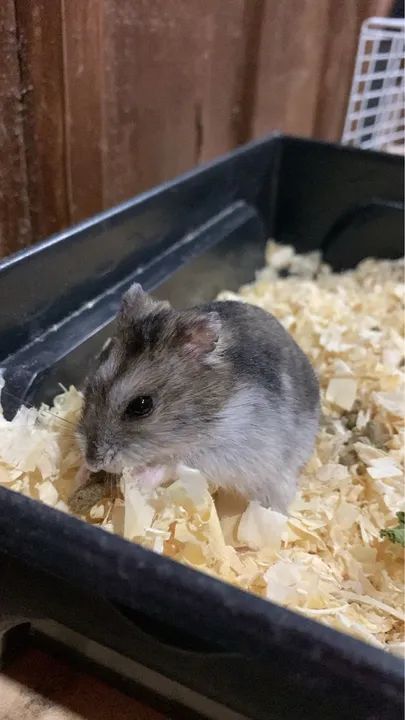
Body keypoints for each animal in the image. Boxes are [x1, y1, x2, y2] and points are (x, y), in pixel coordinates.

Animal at [78, 283, 320, 513]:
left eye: (141, 405)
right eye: (89, 386)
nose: (94, 462)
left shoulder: (227, 451)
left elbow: (173, 465)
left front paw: (136, 481)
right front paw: (81, 472)